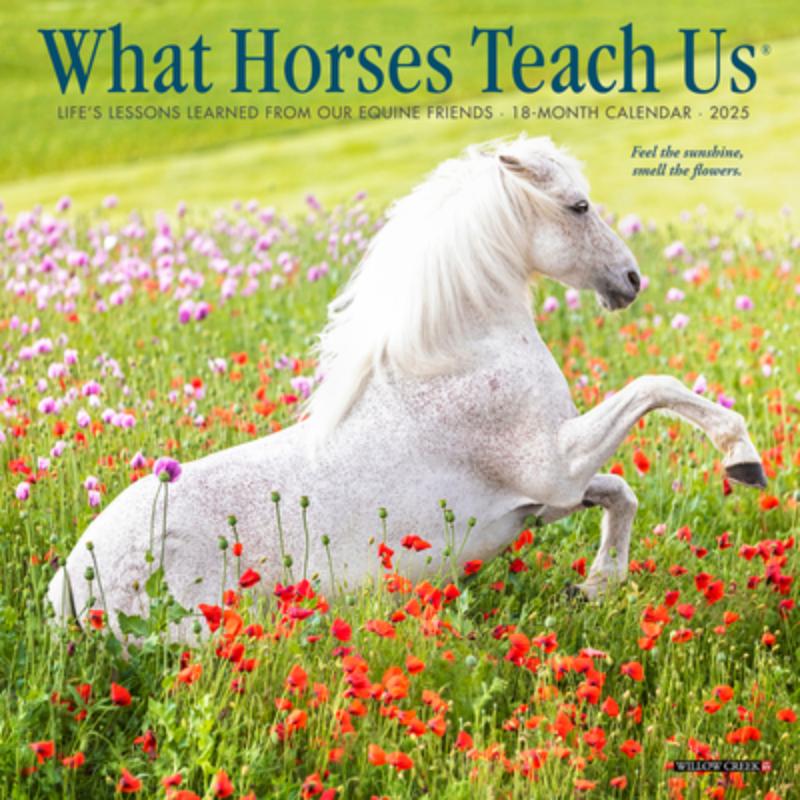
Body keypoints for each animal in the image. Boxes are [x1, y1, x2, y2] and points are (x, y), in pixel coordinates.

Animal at [48, 135, 766, 639]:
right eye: (579, 206)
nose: (630, 280)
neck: (456, 359)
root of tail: (70, 586)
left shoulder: (547, 497)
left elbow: (621, 493)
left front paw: (592, 587)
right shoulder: (555, 466)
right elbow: (655, 388)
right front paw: (743, 460)